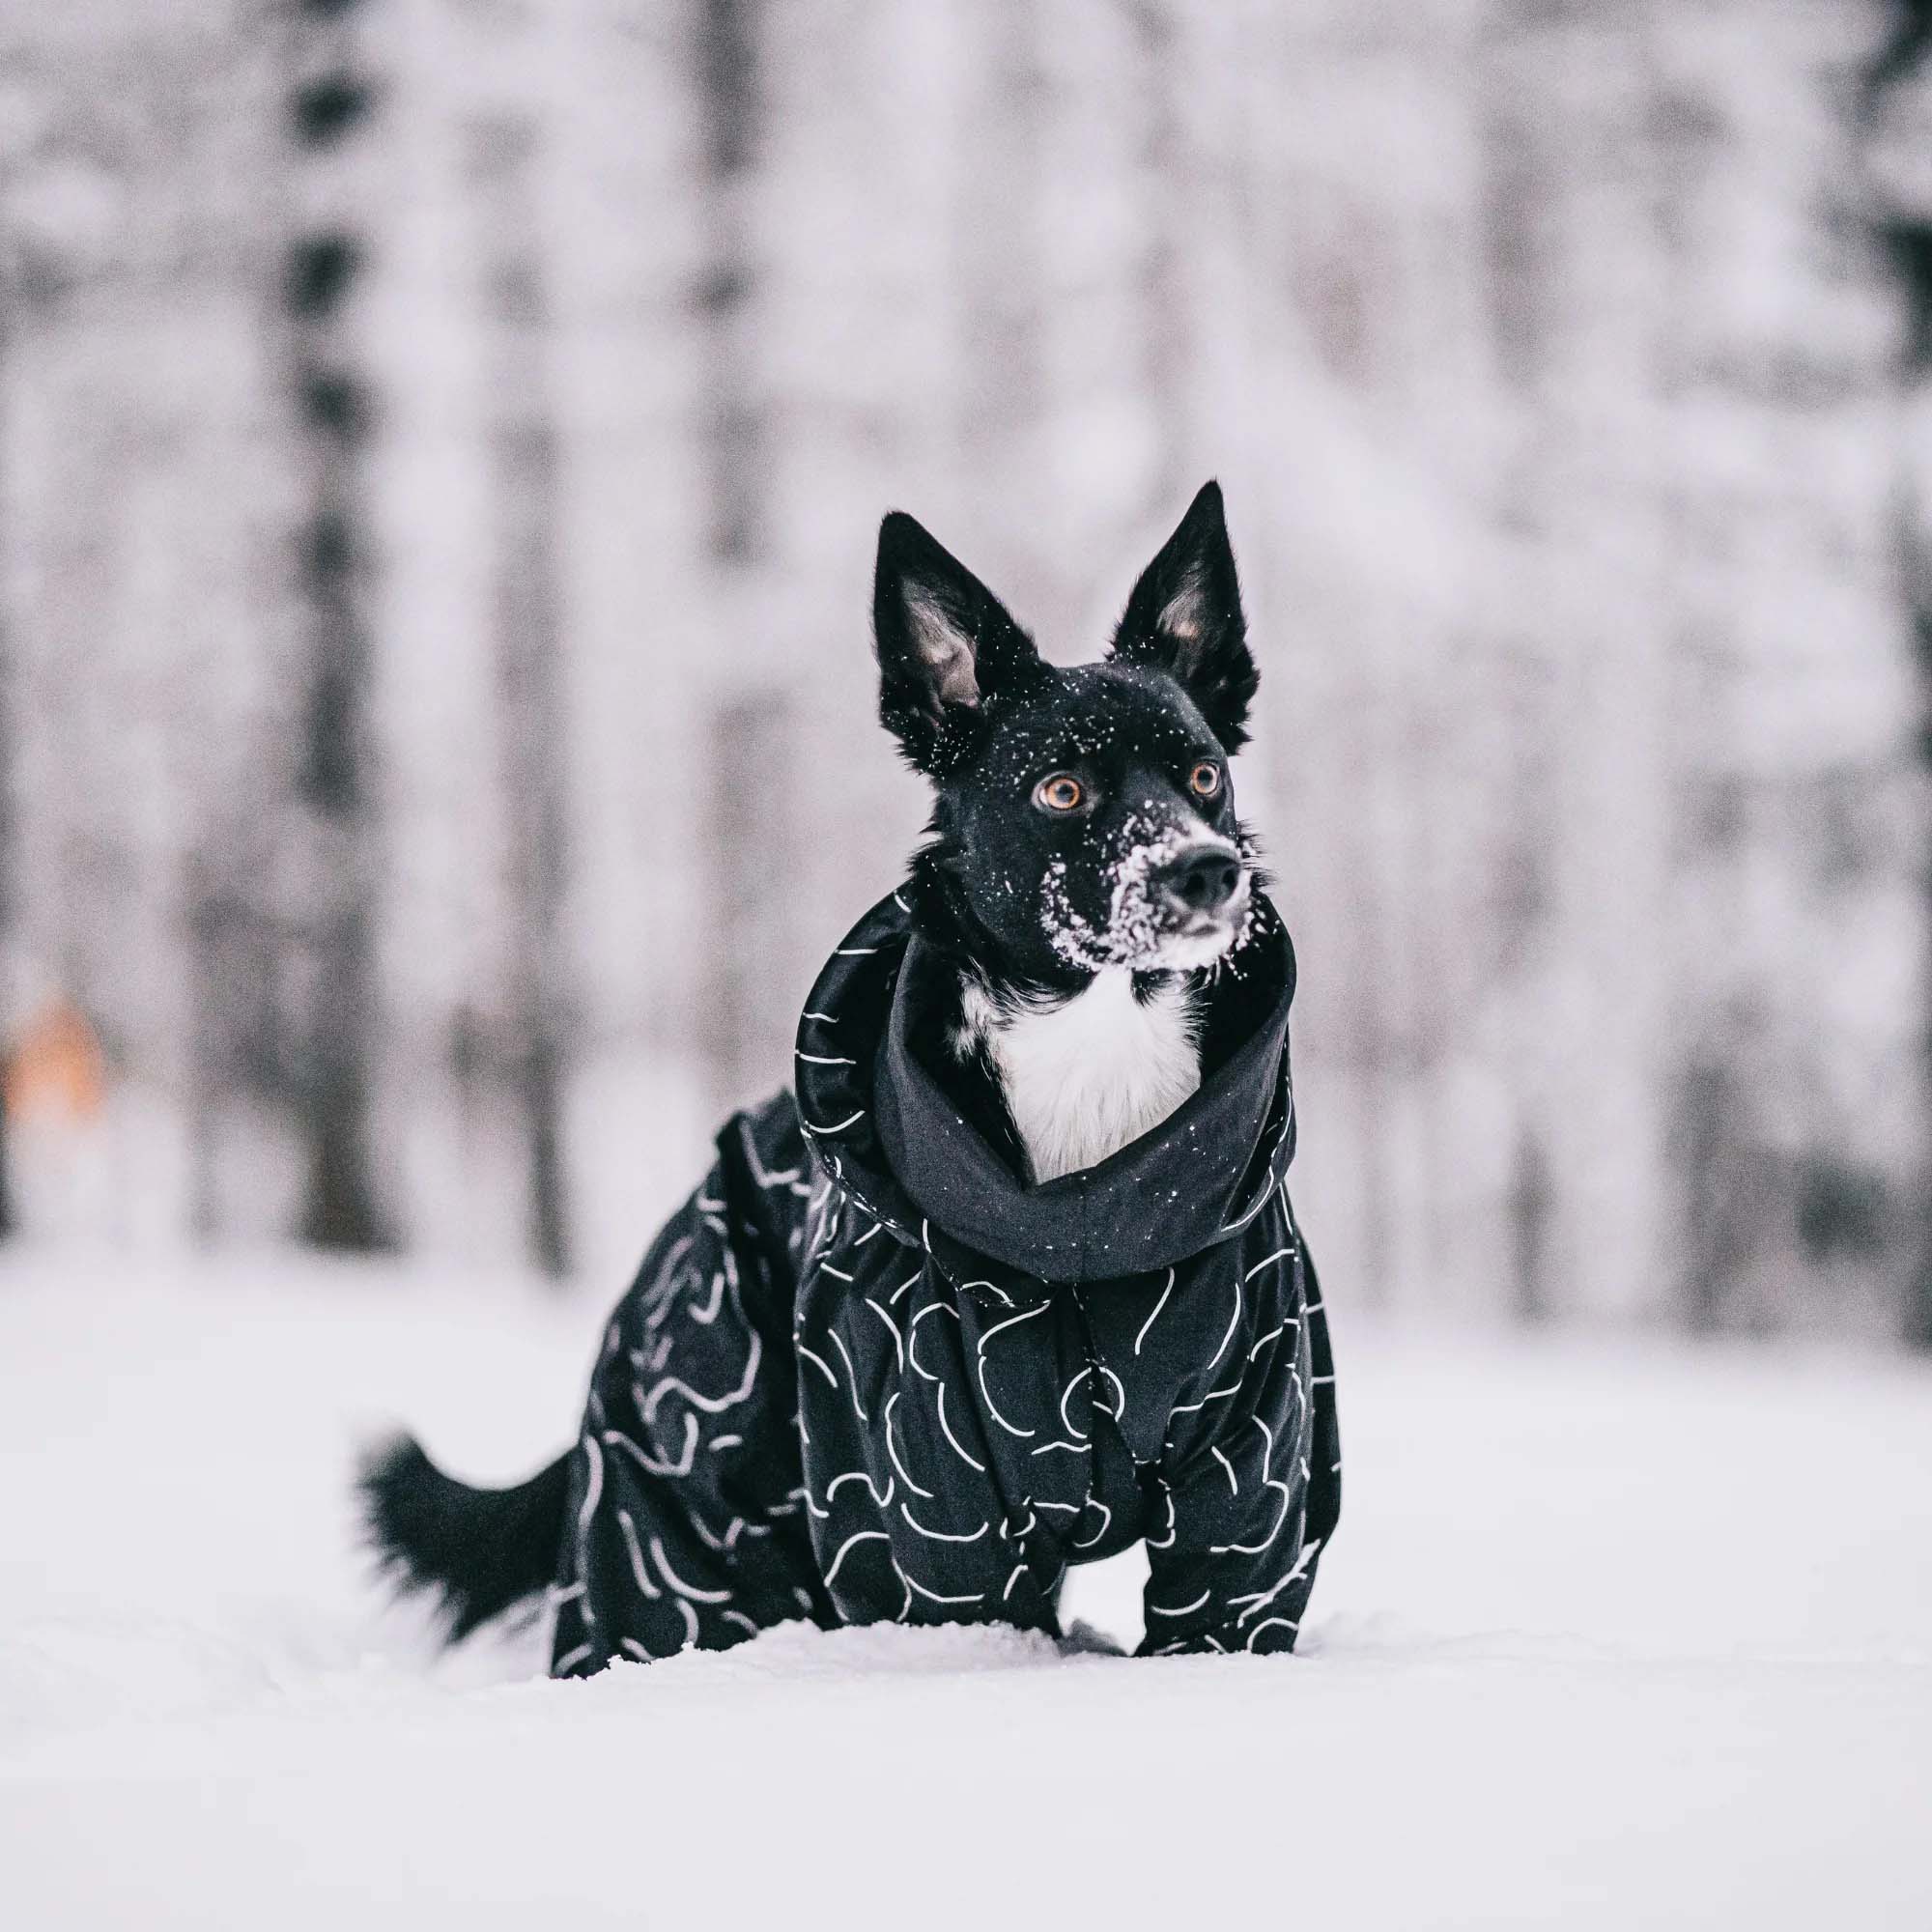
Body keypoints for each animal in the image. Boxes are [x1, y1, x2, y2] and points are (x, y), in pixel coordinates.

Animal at [369, 475, 1352, 1669]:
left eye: (1204, 772)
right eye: (1062, 789)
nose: (1207, 871)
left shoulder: (1252, 1474)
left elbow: (1220, 1606)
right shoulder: (919, 1496)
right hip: (679, 1507)